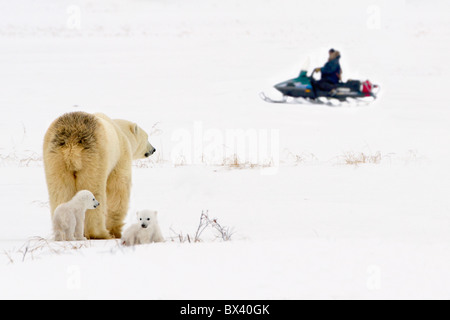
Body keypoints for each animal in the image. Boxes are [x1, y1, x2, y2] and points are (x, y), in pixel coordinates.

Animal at [43, 111, 156, 239]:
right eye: (147, 137)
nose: (153, 149)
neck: (120, 132)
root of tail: (72, 142)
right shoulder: (121, 156)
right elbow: (118, 189)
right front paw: (115, 231)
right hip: (94, 156)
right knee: (93, 188)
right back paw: (99, 233)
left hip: (55, 158)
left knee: (59, 190)